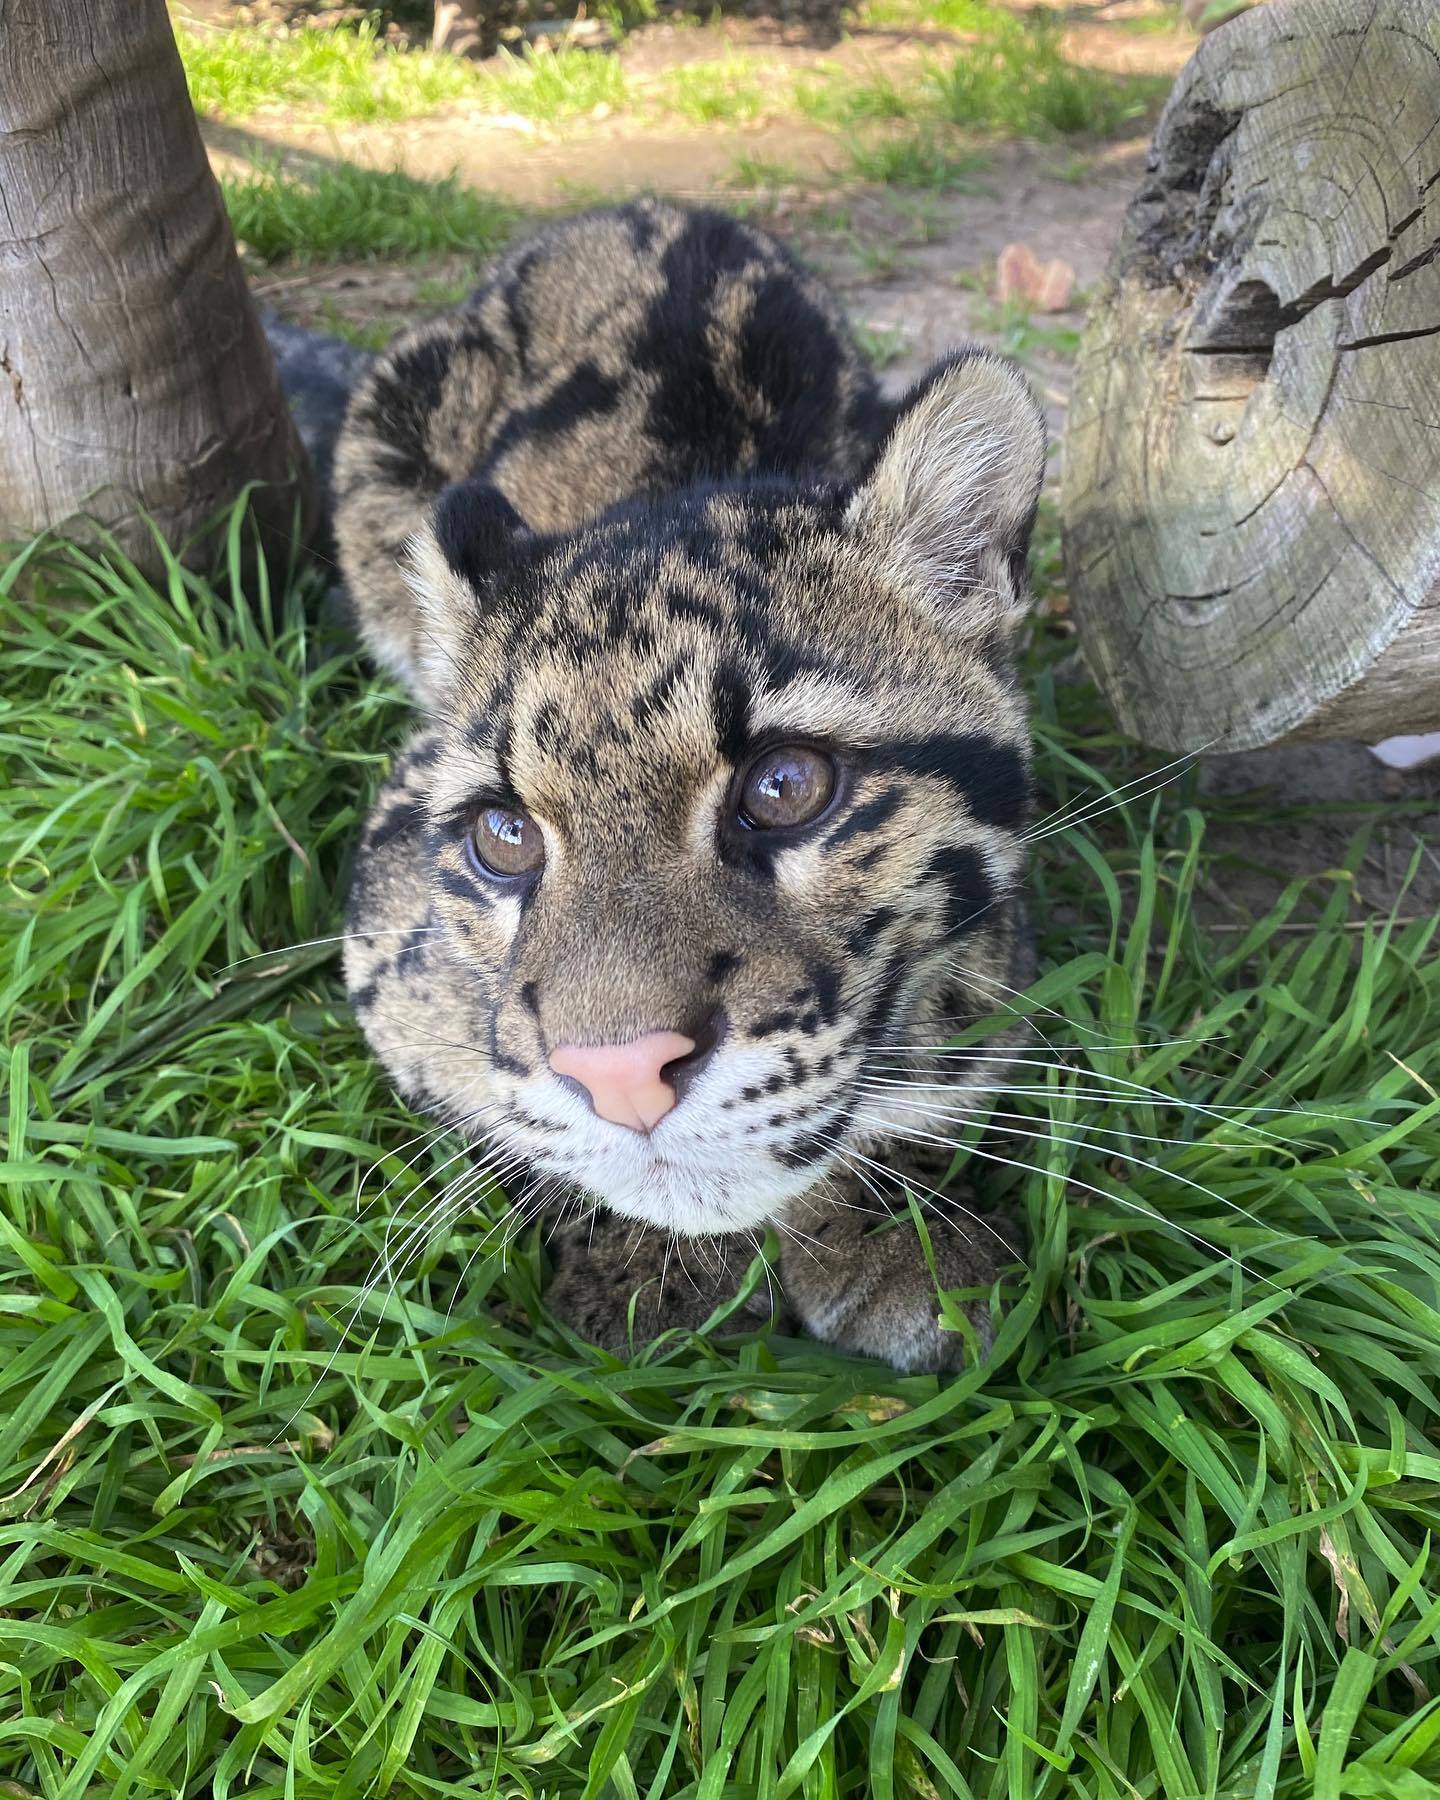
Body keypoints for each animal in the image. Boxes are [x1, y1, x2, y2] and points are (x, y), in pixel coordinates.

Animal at [334, 197, 1044, 1368]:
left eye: (786, 785)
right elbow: (508, 1104)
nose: (620, 1079)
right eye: (504, 837)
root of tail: (639, 205)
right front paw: (643, 1263)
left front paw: (891, 1237)